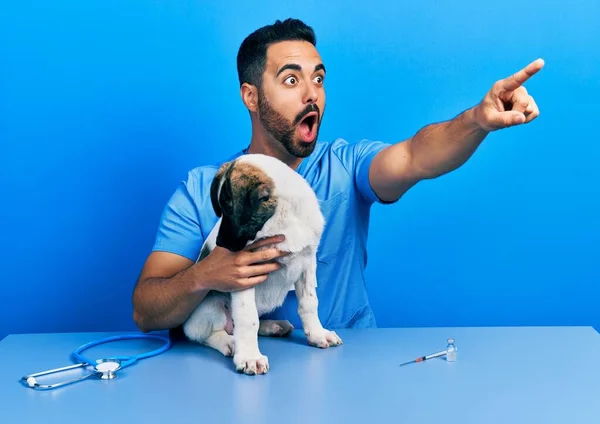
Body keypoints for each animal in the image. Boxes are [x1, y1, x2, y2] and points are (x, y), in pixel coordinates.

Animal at [183, 152, 342, 374]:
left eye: (228, 208)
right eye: (221, 208)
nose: (220, 244)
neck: (282, 220)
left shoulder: (307, 262)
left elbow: (309, 303)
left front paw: (317, 333)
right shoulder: (243, 274)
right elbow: (247, 318)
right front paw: (250, 357)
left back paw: (272, 326)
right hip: (209, 307)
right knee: (205, 333)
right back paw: (229, 343)